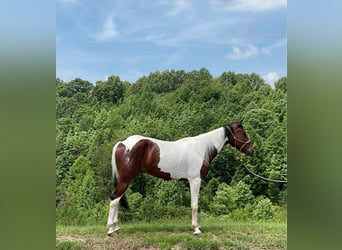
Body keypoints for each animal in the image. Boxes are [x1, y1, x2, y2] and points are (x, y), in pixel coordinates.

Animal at [107, 120, 254, 235]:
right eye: (242, 132)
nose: (251, 150)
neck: (201, 148)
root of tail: (122, 143)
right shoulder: (195, 181)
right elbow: (194, 205)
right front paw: (196, 229)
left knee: (117, 200)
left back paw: (116, 228)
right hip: (126, 180)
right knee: (114, 199)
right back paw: (110, 229)